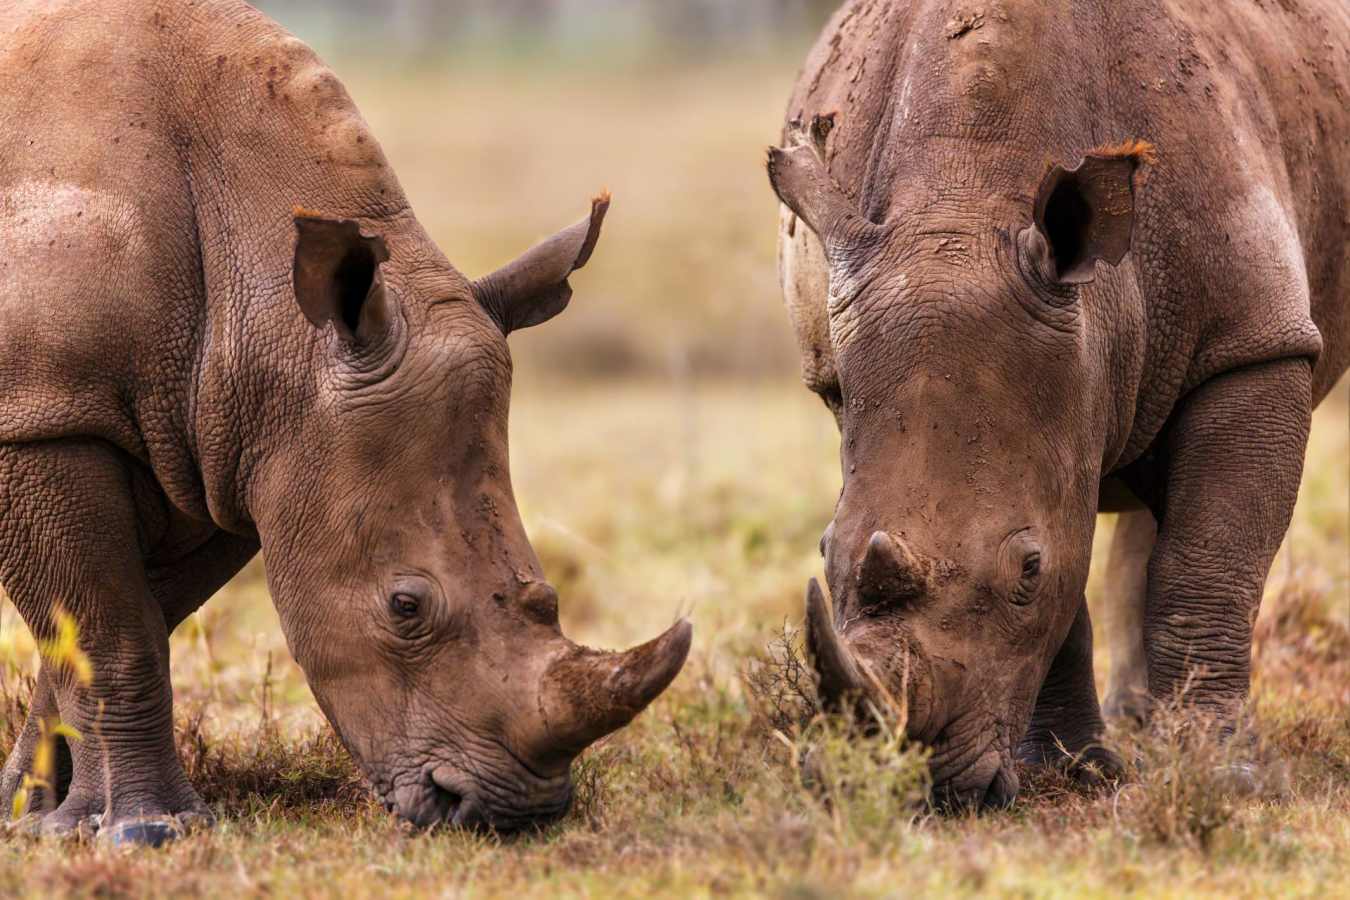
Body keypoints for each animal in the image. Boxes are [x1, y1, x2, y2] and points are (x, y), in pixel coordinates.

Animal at [0, 0, 691, 843]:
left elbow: (120, 623)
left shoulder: (222, 445)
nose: (514, 812)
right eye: (405, 606)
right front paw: (147, 830)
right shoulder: (47, 417)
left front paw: (31, 815)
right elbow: (113, 630)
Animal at [768, 0, 1348, 807]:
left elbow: (1208, 564)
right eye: (823, 551)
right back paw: (1135, 724)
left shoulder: (1254, 343)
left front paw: (1225, 775)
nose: (915, 788)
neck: (961, 196)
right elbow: (1071, 581)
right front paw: (1076, 773)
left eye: (1027, 570)